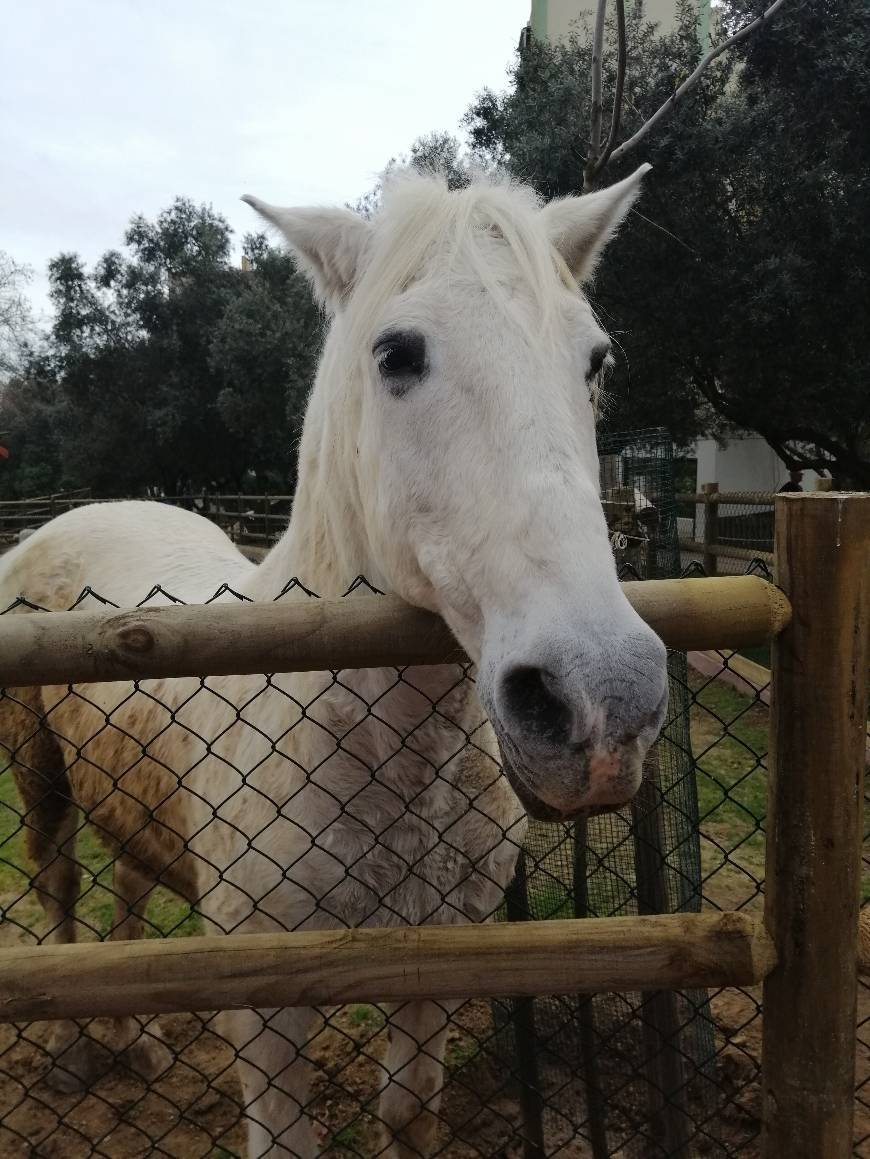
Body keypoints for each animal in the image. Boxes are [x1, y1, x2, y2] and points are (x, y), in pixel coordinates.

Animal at [0, 165, 667, 1159]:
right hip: (38, 773)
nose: (600, 699)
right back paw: (78, 1052)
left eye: (596, 361)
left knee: (127, 888)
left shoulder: (436, 972)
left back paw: (139, 1038)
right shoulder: (267, 1014)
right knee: (59, 882)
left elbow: (406, 1111)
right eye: (396, 354)